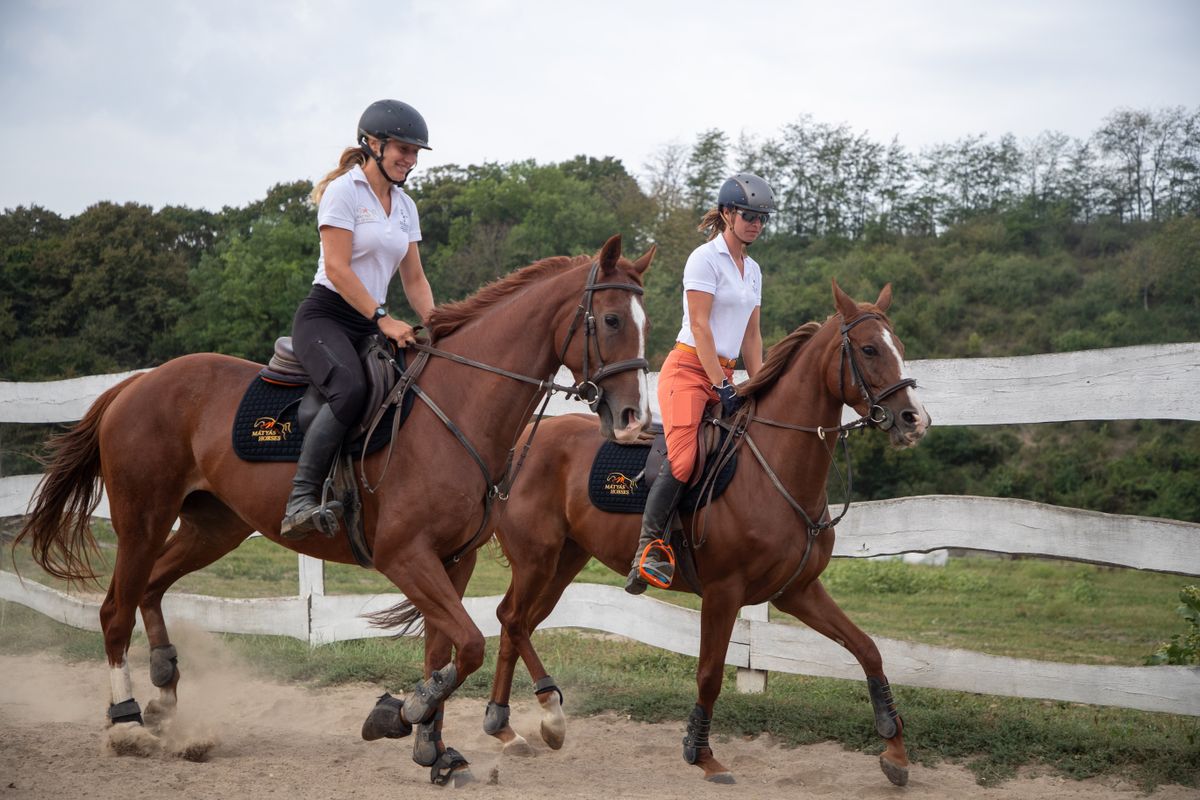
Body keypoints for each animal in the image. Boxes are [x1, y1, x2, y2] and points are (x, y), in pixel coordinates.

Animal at [16, 235, 657, 786]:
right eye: (611, 320)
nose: (632, 420)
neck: (456, 409)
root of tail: (137, 383)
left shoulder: (454, 562)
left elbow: (444, 650)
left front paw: (434, 750)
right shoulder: (405, 557)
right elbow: (468, 645)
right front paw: (401, 715)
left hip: (212, 528)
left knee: (151, 588)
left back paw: (166, 696)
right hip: (142, 519)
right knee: (114, 610)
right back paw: (126, 721)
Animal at [477, 281, 926, 786]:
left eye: (899, 347)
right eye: (869, 349)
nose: (914, 419)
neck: (771, 468)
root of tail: (519, 445)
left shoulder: (798, 592)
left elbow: (868, 650)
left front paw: (895, 749)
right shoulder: (723, 592)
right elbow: (710, 673)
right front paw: (702, 753)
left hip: (563, 562)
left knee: (516, 623)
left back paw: (504, 725)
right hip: (536, 559)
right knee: (513, 620)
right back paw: (548, 715)